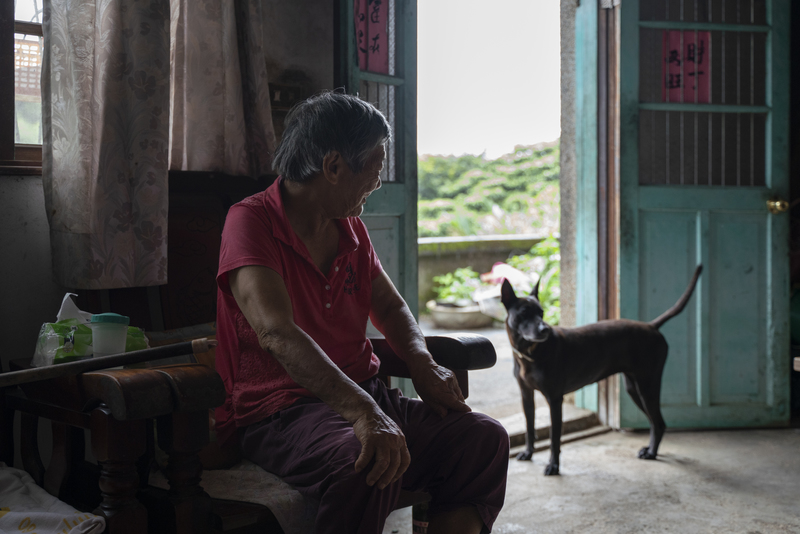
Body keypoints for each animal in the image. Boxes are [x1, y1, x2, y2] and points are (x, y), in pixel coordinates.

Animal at [504, 266, 704, 476]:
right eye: (524, 313)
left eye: (541, 313)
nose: (545, 330)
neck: (529, 354)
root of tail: (651, 326)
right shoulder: (526, 395)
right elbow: (529, 426)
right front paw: (528, 453)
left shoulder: (555, 400)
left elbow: (554, 438)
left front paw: (553, 466)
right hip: (634, 388)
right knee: (655, 422)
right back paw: (650, 450)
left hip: (646, 387)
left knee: (658, 422)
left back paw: (652, 453)